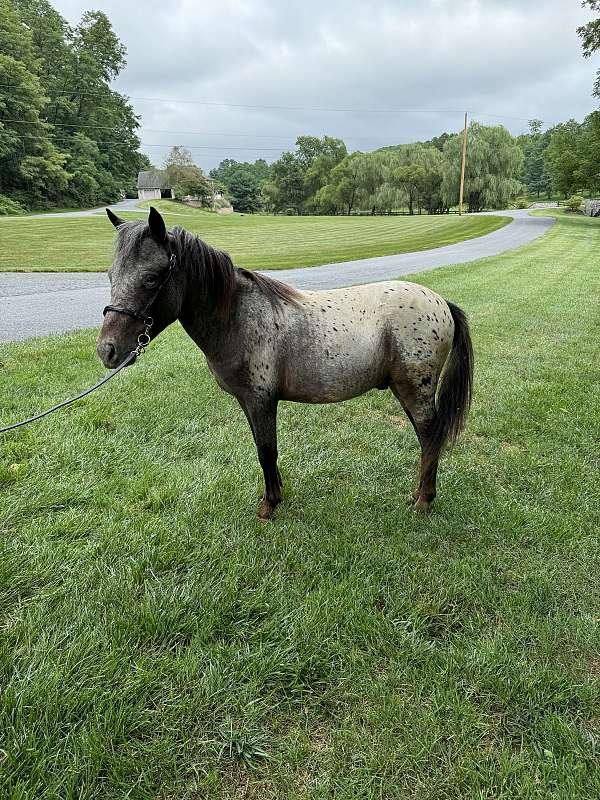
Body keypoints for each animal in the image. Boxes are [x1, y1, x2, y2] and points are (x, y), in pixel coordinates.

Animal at [99, 208, 474, 520]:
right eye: (110, 276)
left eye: (151, 278)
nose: (107, 351)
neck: (239, 316)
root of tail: (442, 303)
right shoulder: (249, 403)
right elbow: (263, 450)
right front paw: (276, 495)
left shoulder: (261, 401)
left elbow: (266, 451)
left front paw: (268, 506)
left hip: (414, 390)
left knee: (430, 437)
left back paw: (423, 501)